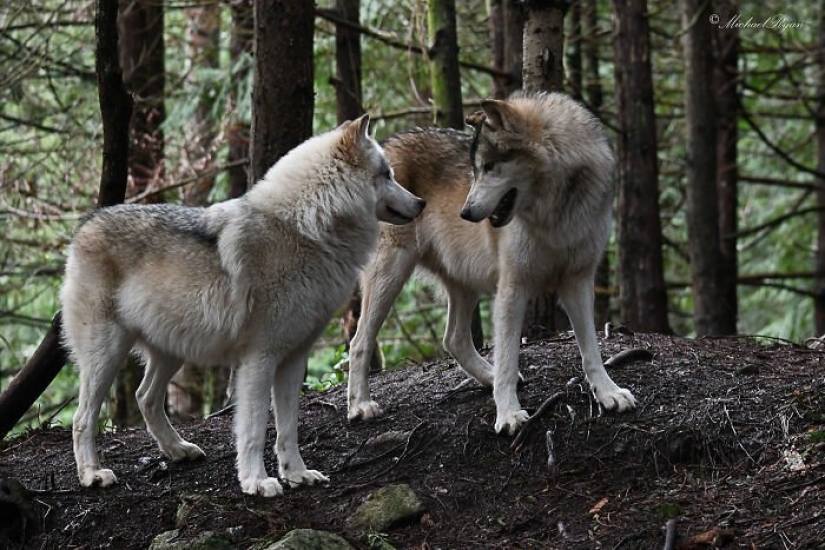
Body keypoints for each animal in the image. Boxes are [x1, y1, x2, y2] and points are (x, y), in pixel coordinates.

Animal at [61, 114, 425, 497]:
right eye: (386, 174)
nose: (421, 203)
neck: (306, 227)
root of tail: (85, 224)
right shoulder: (258, 360)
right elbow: (253, 429)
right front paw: (257, 481)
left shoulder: (294, 358)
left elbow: (288, 428)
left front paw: (297, 474)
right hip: (106, 355)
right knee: (82, 418)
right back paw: (92, 474)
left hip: (171, 352)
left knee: (145, 397)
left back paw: (178, 450)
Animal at [347, 92, 636, 435]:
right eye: (475, 169)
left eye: (489, 167)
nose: (466, 213)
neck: (557, 211)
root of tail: (385, 144)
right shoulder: (513, 286)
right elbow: (509, 357)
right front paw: (508, 414)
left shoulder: (578, 281)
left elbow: (591, 349)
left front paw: (608, 393)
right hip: (390, 277)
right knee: (359, 342)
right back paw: (360, 406)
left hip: (463, 283)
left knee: (453, 339)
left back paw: (486, 376)